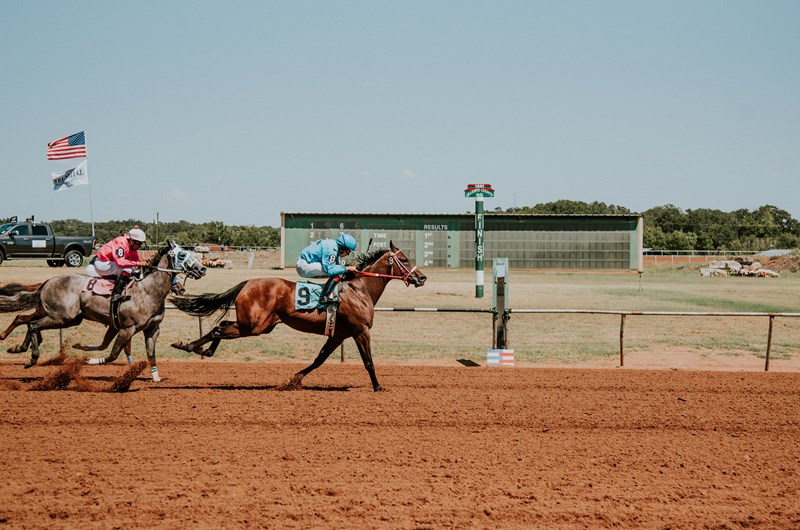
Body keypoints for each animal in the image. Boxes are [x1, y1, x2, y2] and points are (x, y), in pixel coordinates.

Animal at [0, 241, 207, 381]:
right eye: (182, 255)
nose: (202, 268)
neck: (147, 291)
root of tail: (47, 282)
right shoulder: (127, 329)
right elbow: (113, 354)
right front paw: (89, 361)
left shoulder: (152, 329)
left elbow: (151, 355)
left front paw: (156, 378)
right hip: (62, 317)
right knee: (33, 324)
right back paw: (31, 357)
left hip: (59, 315)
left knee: (24, 319)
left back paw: (17, 346)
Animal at [170, 241, 426, 391]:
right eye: (405, 260)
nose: (422, 277)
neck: (359, 290)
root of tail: (247, 282)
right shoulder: (360, 331)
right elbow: (369, 362)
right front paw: (378, 387)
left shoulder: (339, 335)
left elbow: (319, 359)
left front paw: (293, 380)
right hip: (254, 325)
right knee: (218, 329)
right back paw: (191, 346)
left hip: (257, 323)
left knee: (222, 325)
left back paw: (201, 349)